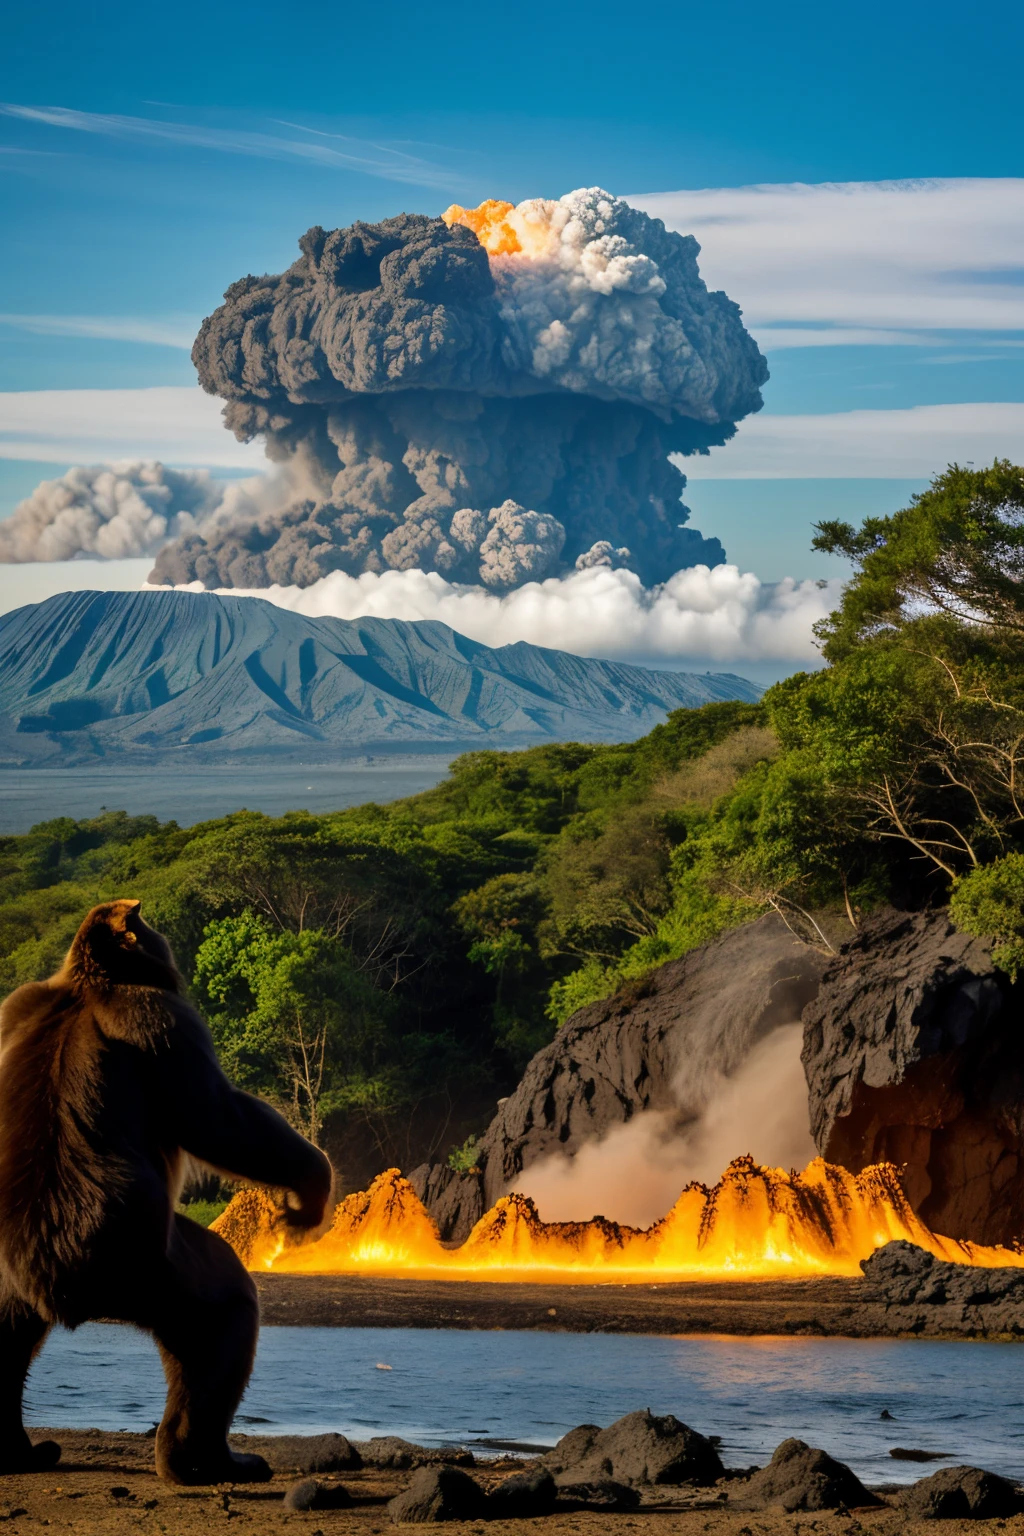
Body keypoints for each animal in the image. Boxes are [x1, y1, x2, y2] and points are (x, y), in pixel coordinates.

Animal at [0, 903, 333, 1480]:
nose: (165, 941)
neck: (93, 981)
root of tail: (61, 1283)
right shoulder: (160, 1019)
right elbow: (219, 1116)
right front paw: (308, 1189)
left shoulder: (13, 1005)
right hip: (149, 1268)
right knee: (221, 1314)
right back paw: (206, 1457)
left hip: (18, 1278)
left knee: (0, 1340)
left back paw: (18, 1449)